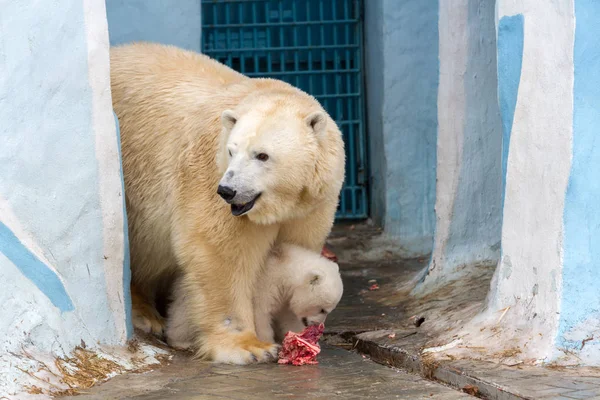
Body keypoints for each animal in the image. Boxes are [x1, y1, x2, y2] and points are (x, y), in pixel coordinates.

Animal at [111, 42, 346, 364]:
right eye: (232, 151)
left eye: (262, 155)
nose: (228, 190)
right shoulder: (208, 177)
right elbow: (220, 253)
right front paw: (249, 346)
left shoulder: (310, 205)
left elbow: (293, 250)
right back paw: (145, 314)